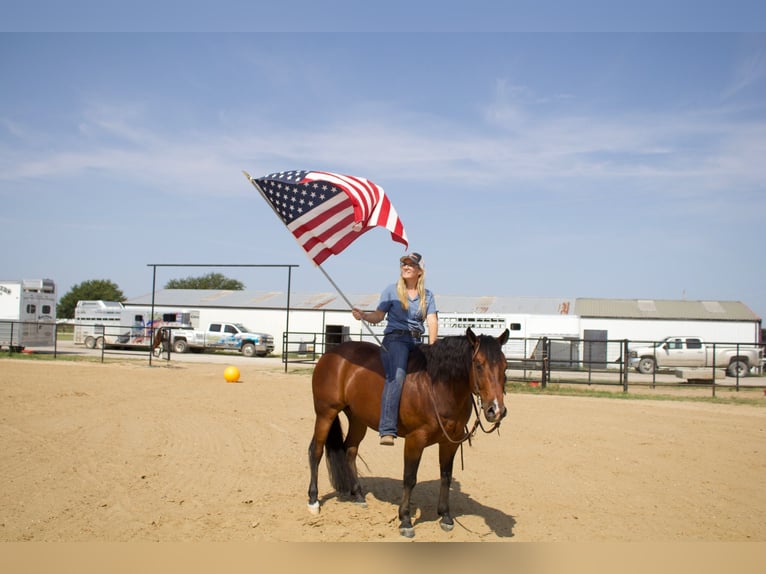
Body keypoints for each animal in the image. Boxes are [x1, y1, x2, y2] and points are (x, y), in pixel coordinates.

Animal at [306, 328, 510, 540]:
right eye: (478, 365)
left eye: (505, 366)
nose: (496, 410)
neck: (437, 388)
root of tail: (331, 354)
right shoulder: (415, 440)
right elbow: (410, 478)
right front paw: (405, 520)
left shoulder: (450, 442)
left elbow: (445, 476)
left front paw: (445, 516)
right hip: (326, 413)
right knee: (316, 451)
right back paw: (313, 501)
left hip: (357, 419)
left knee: (350, 451)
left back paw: (359, 496)